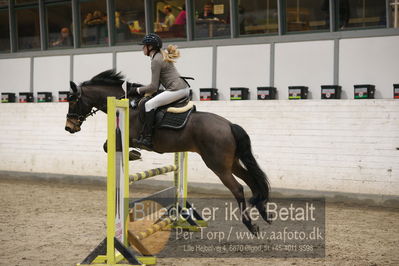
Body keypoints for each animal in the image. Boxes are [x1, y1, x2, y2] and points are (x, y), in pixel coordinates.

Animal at [65, 69, 272, 235]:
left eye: (73, 101)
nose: (69, 127)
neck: (127, 105)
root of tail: (229, 125)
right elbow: (107, 146)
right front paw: (134, 155)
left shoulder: (124, 137)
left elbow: (107, 146)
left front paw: (133, 155)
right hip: (232, 162)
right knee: (251, 180)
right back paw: (264, 213)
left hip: (218, 165)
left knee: (238, 188)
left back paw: (251, 225)